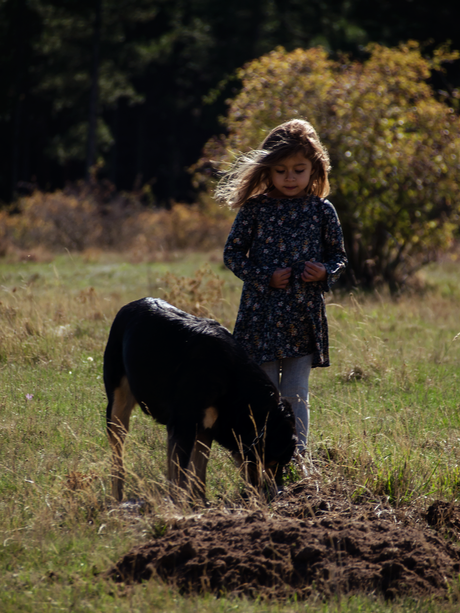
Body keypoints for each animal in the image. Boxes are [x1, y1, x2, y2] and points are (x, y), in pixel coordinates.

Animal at [104, 298, 294, 502]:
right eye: (276, 462)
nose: (276, 494)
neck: (231, 378)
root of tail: (132, 304)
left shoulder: (205, 428)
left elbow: (198, 472)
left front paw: (200, 503)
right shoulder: (182, 427)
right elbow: (179, 476)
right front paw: (179, 505)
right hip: (117, 406)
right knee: (117, 457)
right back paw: (116, 497)